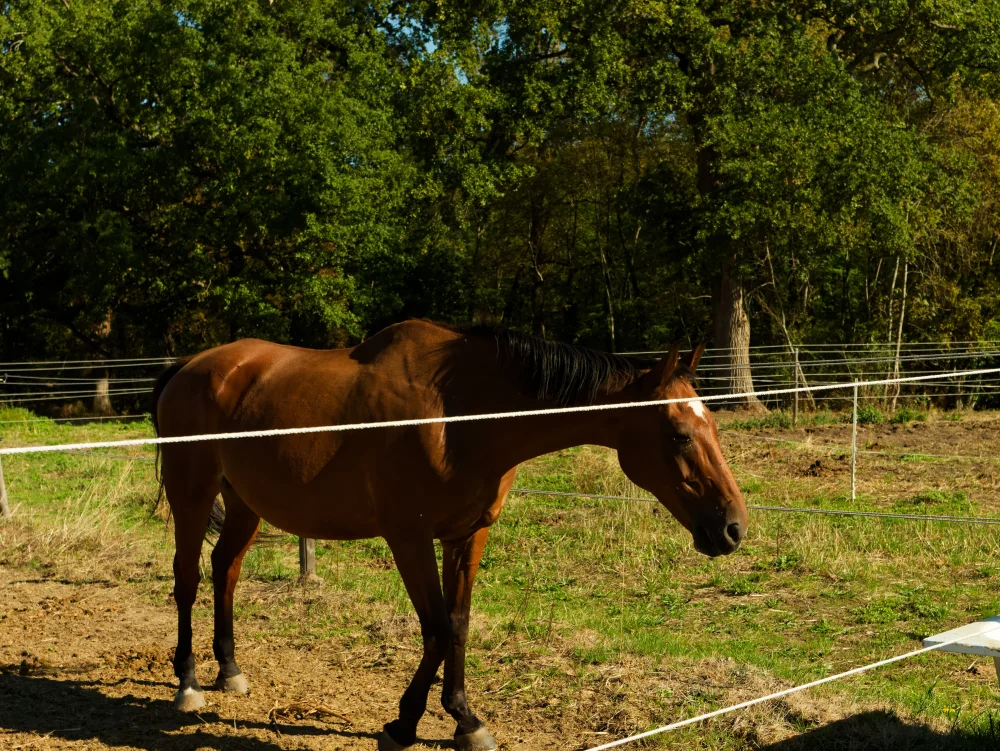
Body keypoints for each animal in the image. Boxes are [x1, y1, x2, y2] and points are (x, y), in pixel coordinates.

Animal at [152, 319, 748, 751]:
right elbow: (436, 630)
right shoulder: (408, 538)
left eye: (714, 427)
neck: (458, 416)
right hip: (192, 495)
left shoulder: (467, 535)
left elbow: (458, 626)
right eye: (678, 434)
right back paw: (189, 683)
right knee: (186, 580)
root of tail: (190, 365)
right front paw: (403, 724)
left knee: (224, 570)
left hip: (245, 504)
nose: (732, 527)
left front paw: (465, 720)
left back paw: (230, 670)